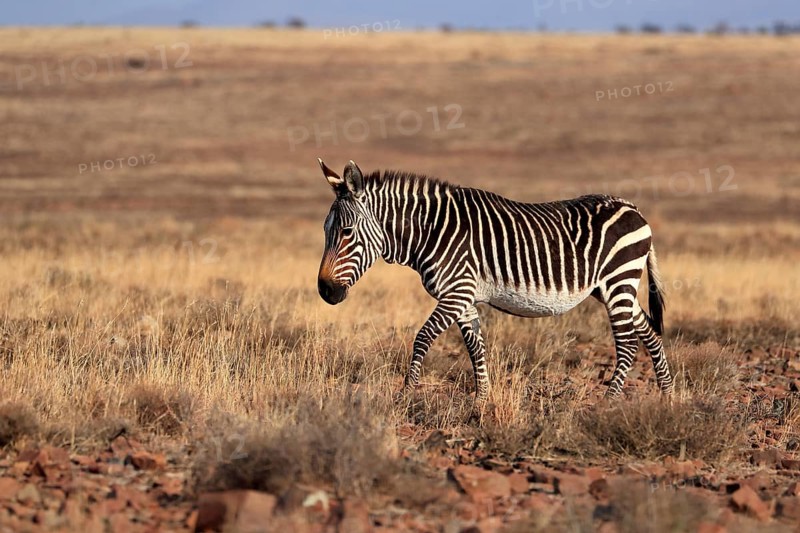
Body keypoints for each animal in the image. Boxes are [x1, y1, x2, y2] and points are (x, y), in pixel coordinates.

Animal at [316, 159, 673, 401]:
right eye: (325, 230)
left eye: (346, 232)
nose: (325, 291)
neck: (431, 232)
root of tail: (633, 207)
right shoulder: (464, 298)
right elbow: (476, 348)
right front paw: (481, 402)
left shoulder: (456, 293)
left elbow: (422, 338)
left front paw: (406, 394)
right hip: (611, 287)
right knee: (649, 331)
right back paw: (667, 396)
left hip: (618, 280)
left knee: (628, 343)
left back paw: (609, 402)